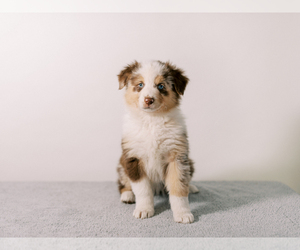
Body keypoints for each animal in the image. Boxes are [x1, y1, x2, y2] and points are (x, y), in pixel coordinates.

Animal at [117, 60, 199, 223]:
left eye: (160, 86)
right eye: (140, 84)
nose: (149, 100)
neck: (152, 120)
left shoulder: (177, 156)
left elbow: (179, 188)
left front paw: (183, 214)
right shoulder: (133, 157)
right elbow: (142, 190)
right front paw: (143, 210)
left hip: (190, 163)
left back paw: (191, 187)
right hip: (121, 165)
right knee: (123, 183)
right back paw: (127, 195)